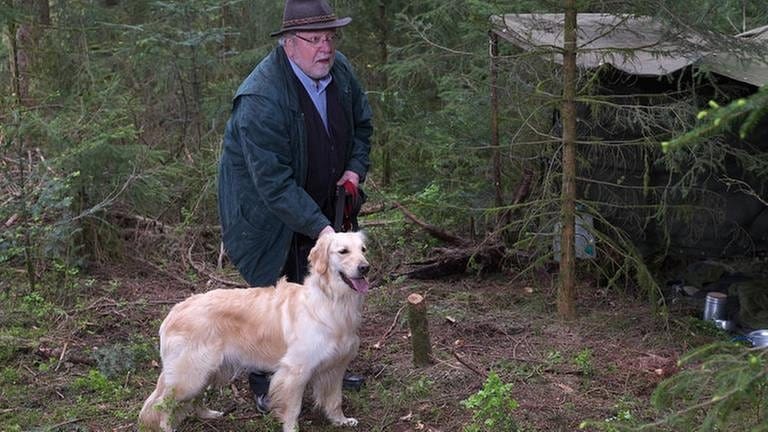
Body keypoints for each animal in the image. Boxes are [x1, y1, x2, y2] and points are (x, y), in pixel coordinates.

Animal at [142, 233, 376, 432]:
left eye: (363, 249)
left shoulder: (336, 366)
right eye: (343, 251)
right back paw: (169, 427)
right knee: (163, 404)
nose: (365, 268)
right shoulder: (295, 370)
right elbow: (293, 409)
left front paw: (341, 421)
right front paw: (292, 428)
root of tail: (174, 311)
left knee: (193, 400)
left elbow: (335, 400)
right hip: (190, 375)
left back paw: (209, 414)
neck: (332, 300)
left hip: (206, 370)